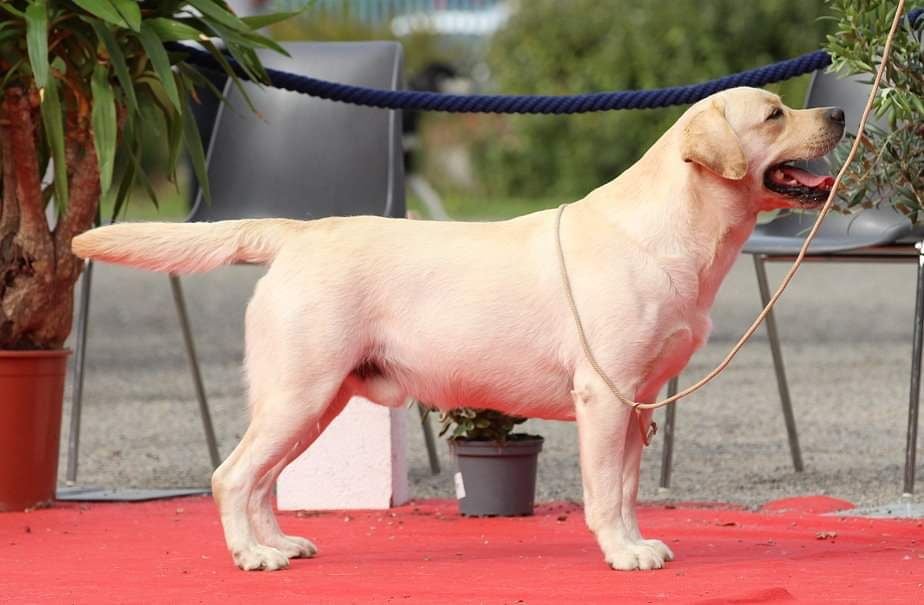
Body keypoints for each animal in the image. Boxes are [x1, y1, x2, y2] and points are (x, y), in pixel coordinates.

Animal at [72, 86, 844, 572]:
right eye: (774, 114)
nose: (838, 110)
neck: (675, 229)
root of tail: (298, 231)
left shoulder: (639, 399)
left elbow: (625, 488)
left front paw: (636, 542)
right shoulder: (605, 395)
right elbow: (603, 489)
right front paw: (622, 554)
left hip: (314, 399)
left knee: (262, 479)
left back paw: (280, 543)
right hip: (301, 389)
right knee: (232, 474)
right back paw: (252, 556)